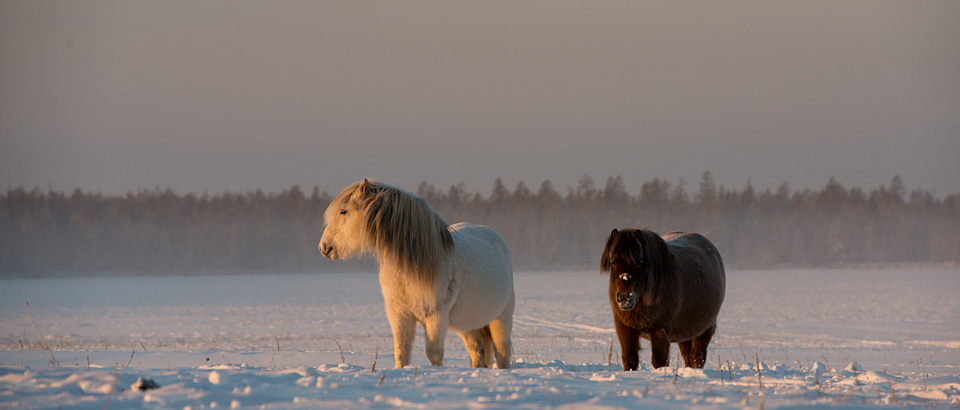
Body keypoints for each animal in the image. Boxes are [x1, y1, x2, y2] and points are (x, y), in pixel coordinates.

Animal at [318, 179, 512, 368]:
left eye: (343, 211)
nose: (323, 247)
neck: (410, 269)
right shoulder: (399, 315)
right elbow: (401, 351)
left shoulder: (436, 316)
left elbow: (434, 353)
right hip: (468, 323)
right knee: (477, 351)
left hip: (501, 319)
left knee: (502, 353)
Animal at [600, 229, 728, 370]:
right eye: (612, 261)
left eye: (640, 261)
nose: (625, 298)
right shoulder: (624, 328)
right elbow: (629, 360)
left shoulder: (660, 330)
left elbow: (660, 361)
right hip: (683, 333)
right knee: (687, 356)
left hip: (704, 330)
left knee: (697, 357)